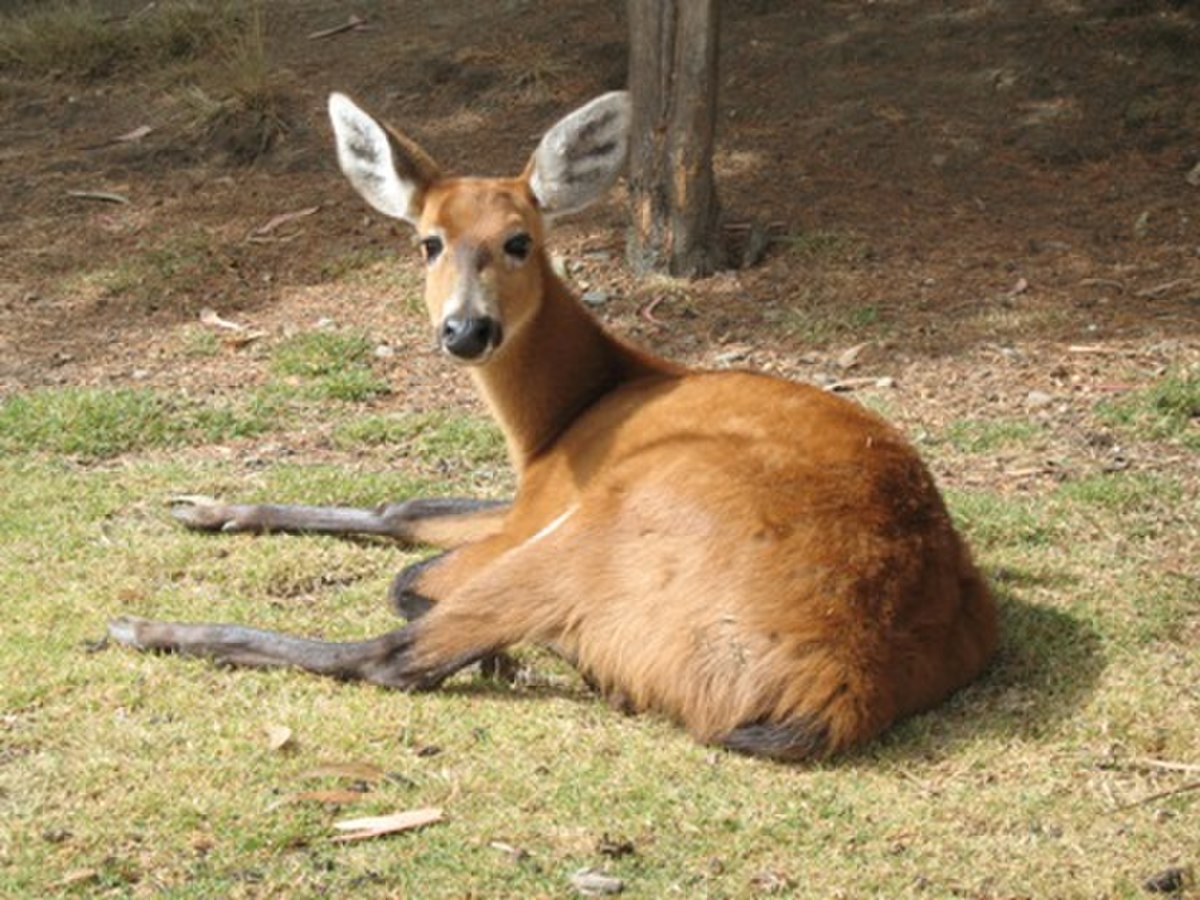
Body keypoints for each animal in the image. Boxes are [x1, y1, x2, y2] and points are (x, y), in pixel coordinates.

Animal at [108, 91, 998, 761]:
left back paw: (142, 626)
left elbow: (408, 569)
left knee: (396, 657)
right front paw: (206, 506)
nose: (466, 330)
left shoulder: (540, 509)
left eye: (518, 241)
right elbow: (403, 509)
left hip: (605, 529)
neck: (566, 416)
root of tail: (841, 684)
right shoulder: (527, 499)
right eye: (427, 242)